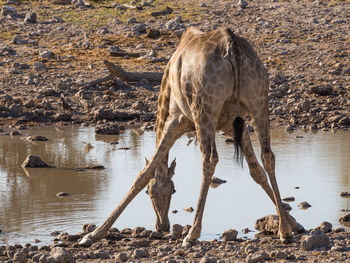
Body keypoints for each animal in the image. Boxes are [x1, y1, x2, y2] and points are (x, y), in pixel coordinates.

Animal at [79, 26, 300, 248]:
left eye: (157, 192)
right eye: (171, 190)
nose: (163, 225)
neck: (166, 86)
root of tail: (232, 47)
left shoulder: (177, 119)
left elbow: (144, 173)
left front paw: (94, 234)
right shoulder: (232, 123)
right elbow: (257, 172)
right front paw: (293, 224)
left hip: (204, 109)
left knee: (209, 160)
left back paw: (192, 233)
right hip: (259, 103)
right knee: (268, 156)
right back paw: (283, 231)